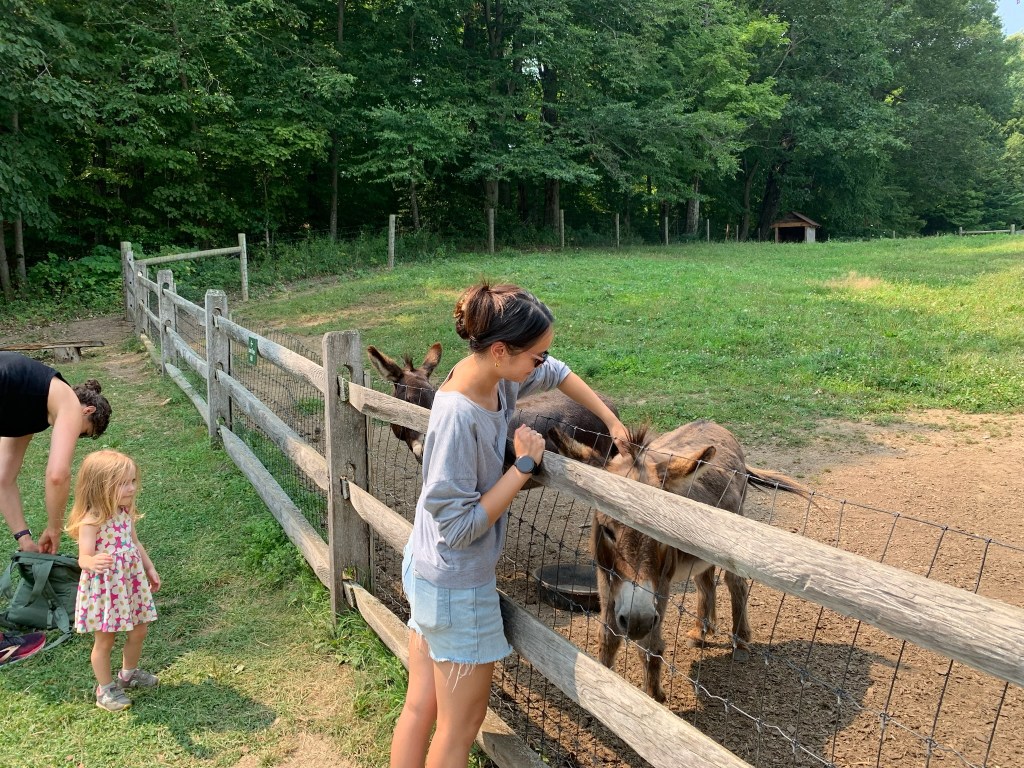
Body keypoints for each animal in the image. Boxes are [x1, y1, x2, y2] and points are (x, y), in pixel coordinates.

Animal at [548, 419, 812, 703]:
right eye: (608, 530)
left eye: (660, 532)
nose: (637, 620)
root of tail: (712, 422)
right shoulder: (605, 577)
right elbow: (607, 637)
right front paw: (602, 683)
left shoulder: (660, 585)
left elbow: (650, 648)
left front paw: (654, 697)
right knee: (705, 583)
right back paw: (701, 632)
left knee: (735, 583)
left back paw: (740, 641)